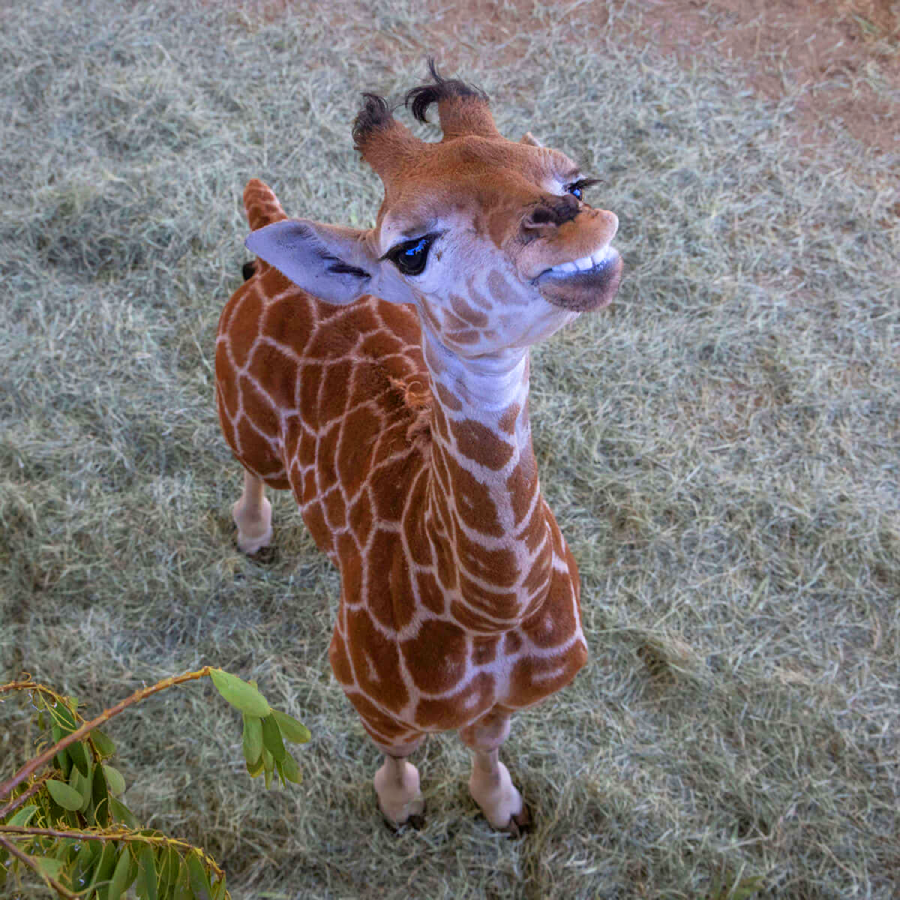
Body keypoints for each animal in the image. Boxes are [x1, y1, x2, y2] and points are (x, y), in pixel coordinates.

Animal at [215, 64, 623, 834]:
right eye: (410, 250)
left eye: (577, 183)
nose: (573, 225)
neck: (488, 612)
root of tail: (264, 236)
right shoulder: (369, 690)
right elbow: (398, 753)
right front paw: (402, 809)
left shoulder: (515, 697)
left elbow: (488, 741)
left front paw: (503, 807)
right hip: (240, 419)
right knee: (251, 471)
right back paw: (254, 536)